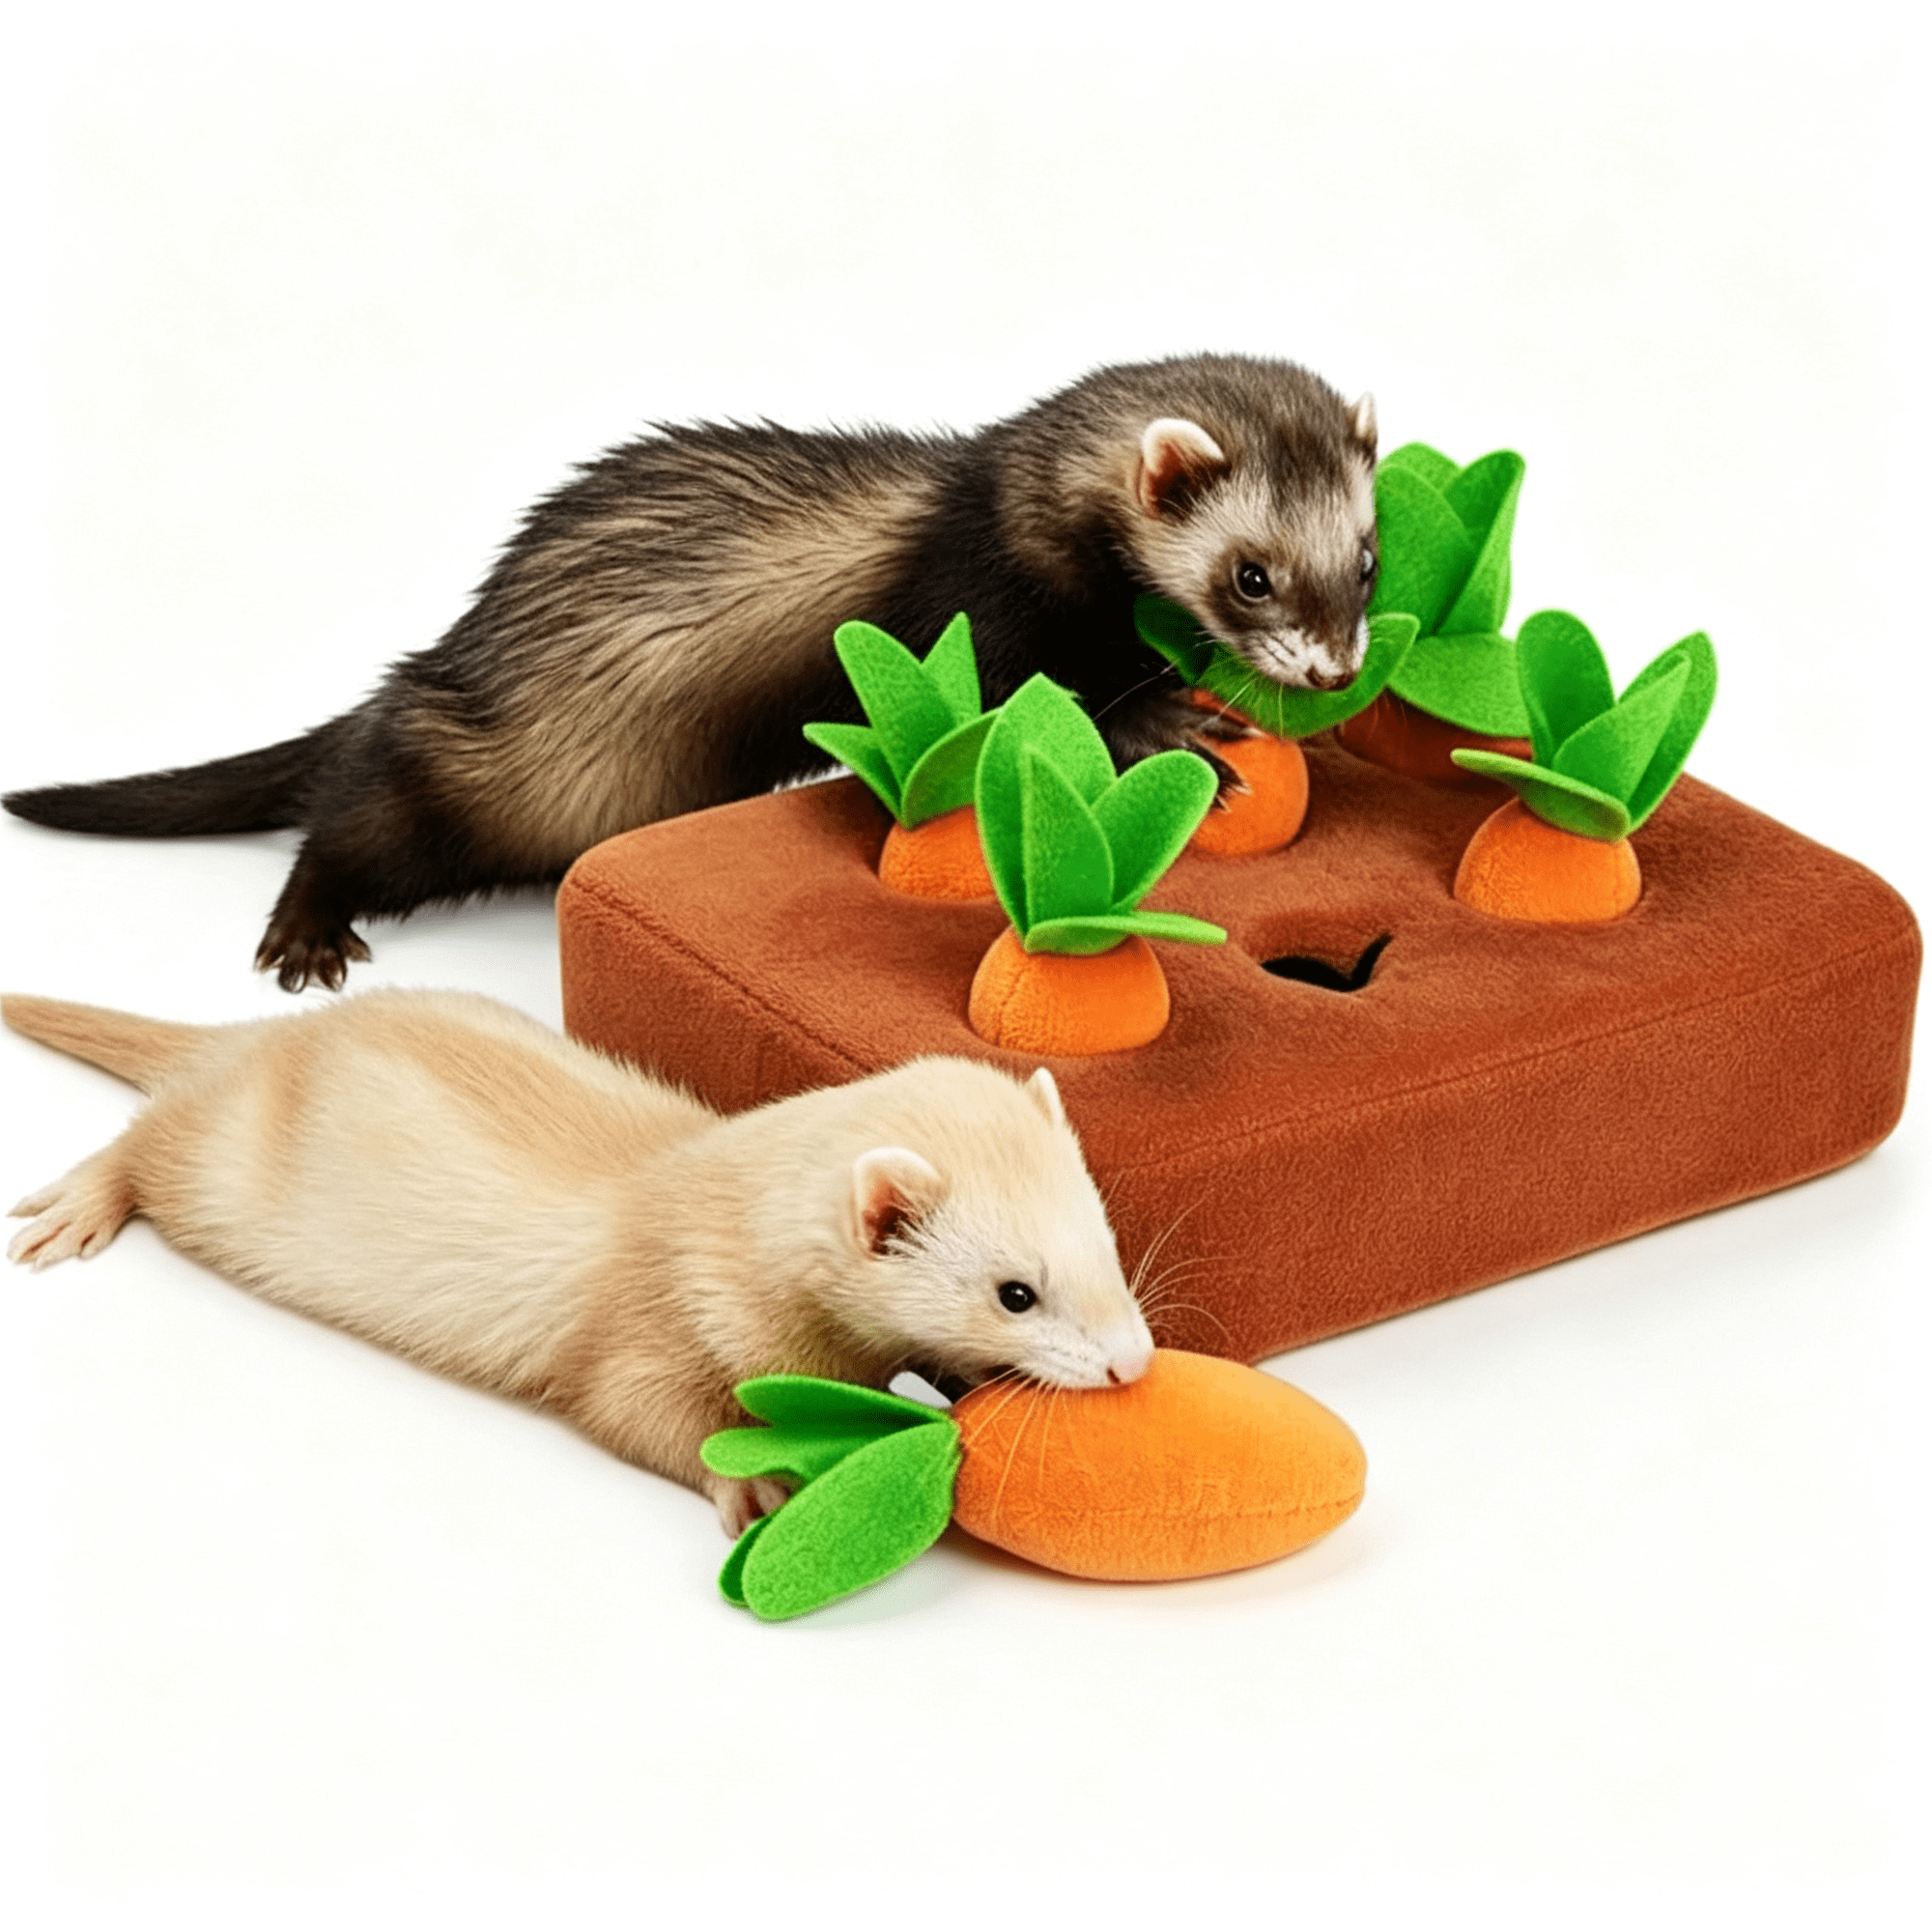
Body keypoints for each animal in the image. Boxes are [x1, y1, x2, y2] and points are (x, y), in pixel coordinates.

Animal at [4, 353, 1380, 991]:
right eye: (1250, 573)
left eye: (1365, 559)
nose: (1326, 668)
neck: (993, 500)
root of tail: (425, 667)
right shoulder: (967, 606)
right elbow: (1012, 695)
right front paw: (1161, 719)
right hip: (463, 782)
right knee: (346, 826)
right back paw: (305, 930)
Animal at [4, 989, 1153, 1534]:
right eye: (1015, 1292)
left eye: (1104, 1235)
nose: (1134, 1362)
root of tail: (254, 1039)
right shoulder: (647, 1329)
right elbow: (635, 1414)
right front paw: (750, 1485)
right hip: (205, 1168)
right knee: (141, 1142)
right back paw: (73, 1206)